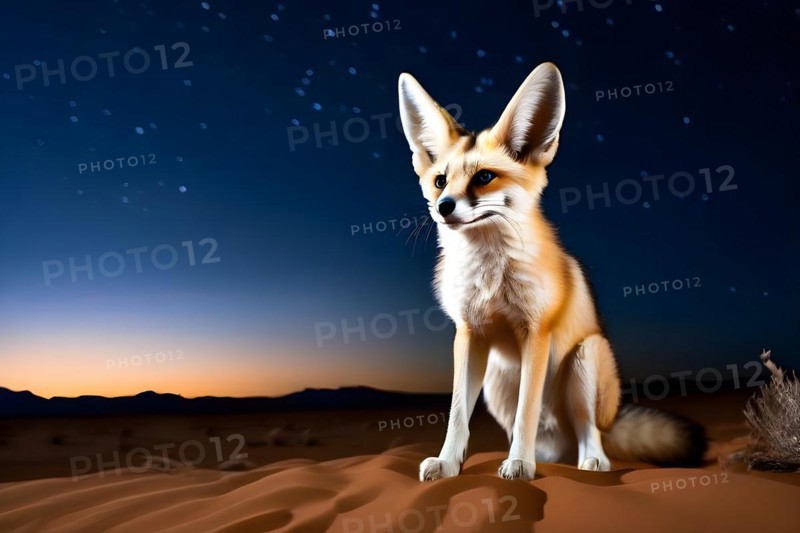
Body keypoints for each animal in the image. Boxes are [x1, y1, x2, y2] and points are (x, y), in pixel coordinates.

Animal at [397, 63, 707, 481]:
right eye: (440, 181)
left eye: (484, 178)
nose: (443, 207)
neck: (489, 276)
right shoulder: (468, 333)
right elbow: (458, 414)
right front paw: (448, 464)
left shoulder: (536, 332)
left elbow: (527, 410)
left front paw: (519, 465)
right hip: (497, 379)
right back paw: (543, 458)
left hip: (583, 361)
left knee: (588, 429)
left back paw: (589, 461)